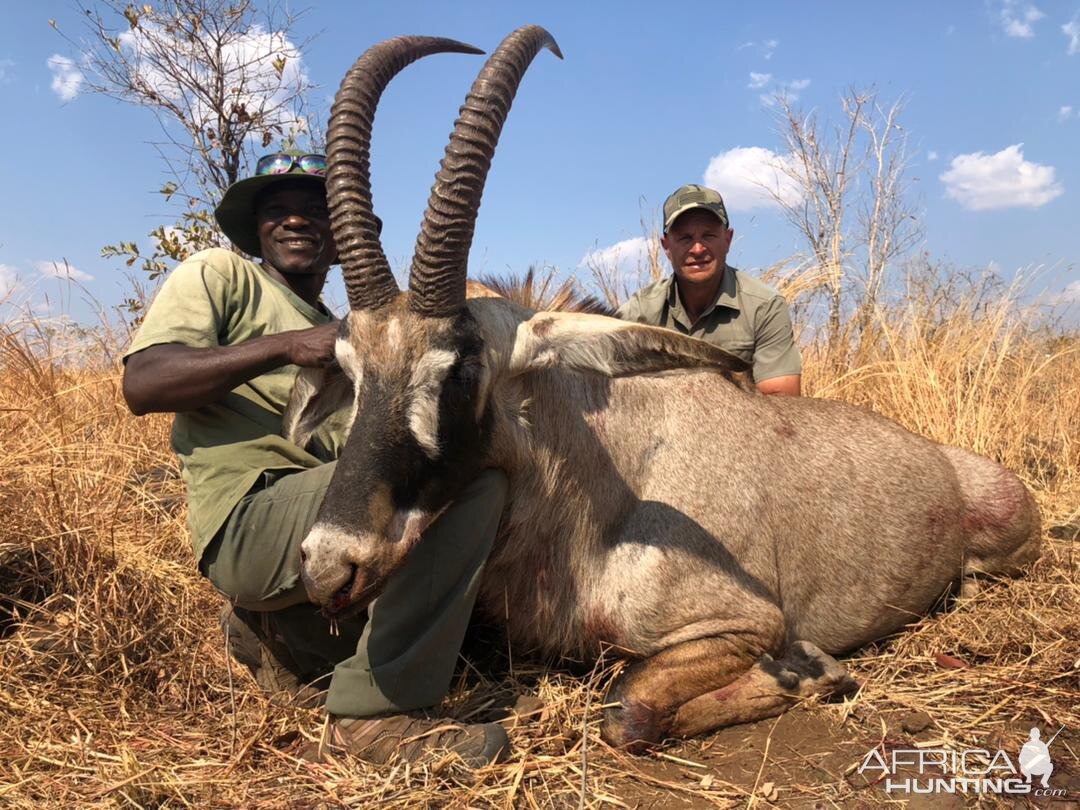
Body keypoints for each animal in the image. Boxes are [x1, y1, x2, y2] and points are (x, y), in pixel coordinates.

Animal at [285, 25, 1036, 751]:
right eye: (350, 369)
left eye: (463, 366)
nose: (328, 568)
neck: (612, 478)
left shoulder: (744, 623)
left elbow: (628, 710)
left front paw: (814, 669)